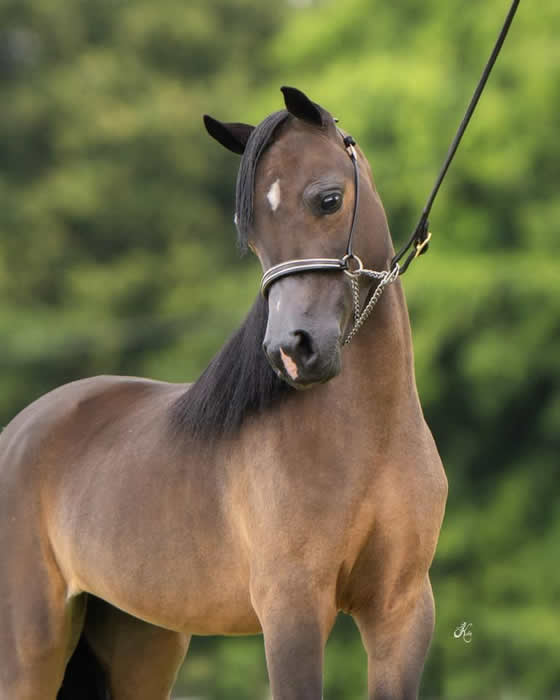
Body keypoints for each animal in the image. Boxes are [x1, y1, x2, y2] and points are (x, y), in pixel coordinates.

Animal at [0, 86, 447, 700]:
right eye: (251, 232)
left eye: (329, 200)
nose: (292, 350)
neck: (370, 438)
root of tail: (17, 434)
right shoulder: (292, 610)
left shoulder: (400, 610)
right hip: (30, 646)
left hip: (143, 639)